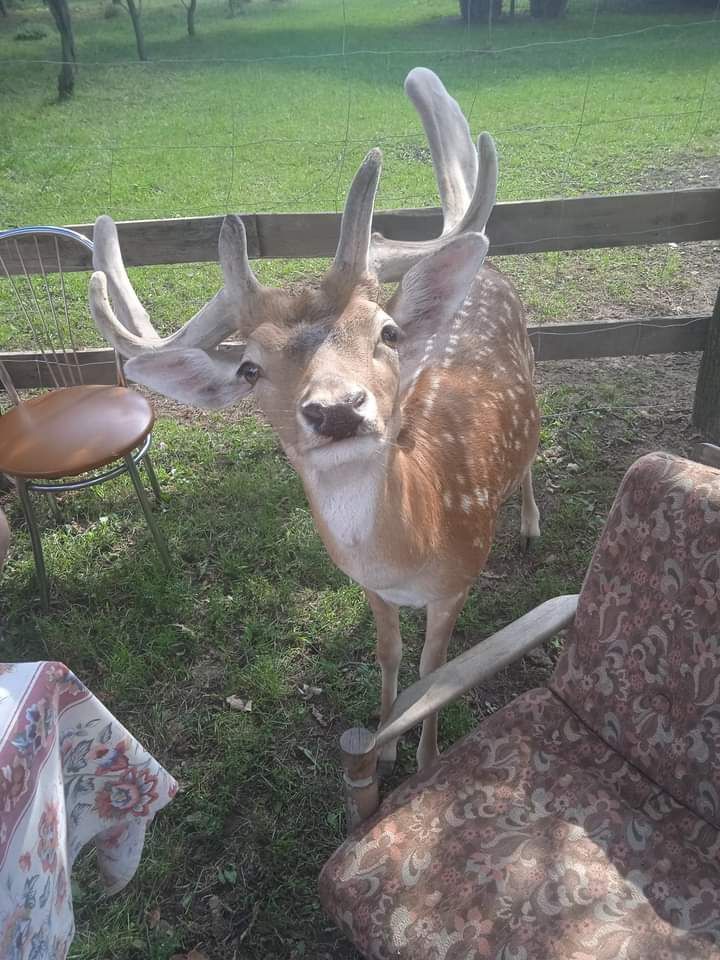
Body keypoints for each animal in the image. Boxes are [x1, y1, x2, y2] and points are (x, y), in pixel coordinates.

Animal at [88, 67, 540, 772]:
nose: (334, 409)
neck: (420, 539)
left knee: (533, 456)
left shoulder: (457, 580)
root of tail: (485, 266)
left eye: (386, 331)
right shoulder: (372, 590)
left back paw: (529, 525)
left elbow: (435, 670)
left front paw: (426, 759)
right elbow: (388, 656)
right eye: (249, 368)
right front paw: (383, 743)